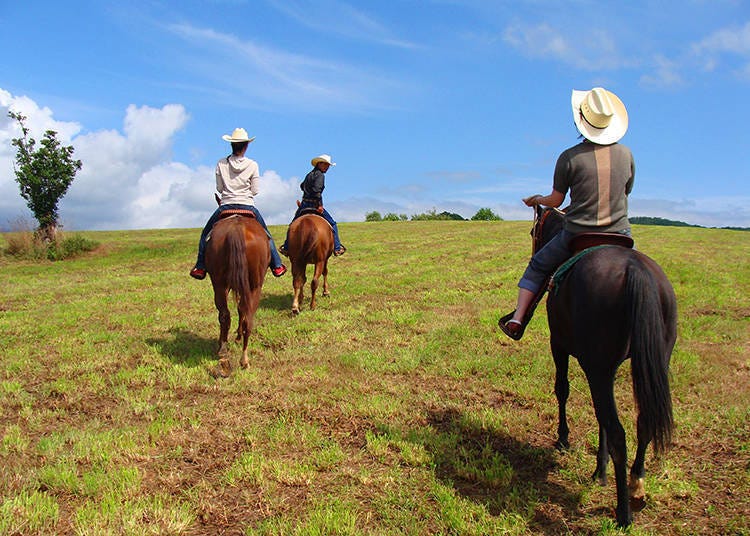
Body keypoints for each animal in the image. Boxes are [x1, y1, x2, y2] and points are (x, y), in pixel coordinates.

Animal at [206, 214, 270, 372]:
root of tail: (237, 229)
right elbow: (241, 309)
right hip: (255, 287)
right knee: (246, 318)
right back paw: (244, 359)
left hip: (219, 284)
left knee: (225, 315)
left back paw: (224, 349)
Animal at [532, 206, 680, 528]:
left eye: (533, 231)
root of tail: (636, 271)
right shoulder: (603, 367)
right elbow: (598, 415)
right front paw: (599, 470)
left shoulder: (559, 344)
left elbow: (562, 389)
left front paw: (563, 439)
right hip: (653, 360)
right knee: (642, 421)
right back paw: (636, 486)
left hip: (596, 367)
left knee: (618, 432)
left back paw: (623, 514)